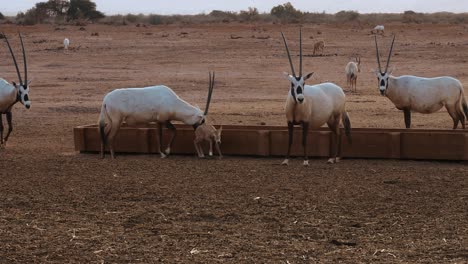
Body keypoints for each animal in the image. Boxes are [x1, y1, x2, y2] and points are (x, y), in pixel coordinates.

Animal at [278, 29, 352, 165]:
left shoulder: (305, 122)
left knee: (339, 133)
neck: (296, 107)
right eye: (292, 84)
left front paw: (306, 161)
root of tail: (340, 90)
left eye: (303, 83)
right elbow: (290, 140)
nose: (300, 99)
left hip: (336, 116)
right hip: (330, 120)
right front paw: (285, 160)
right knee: (336, 133)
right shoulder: (290, 122)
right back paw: (335, 157)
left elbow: (304, 140)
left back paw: (334, 158)